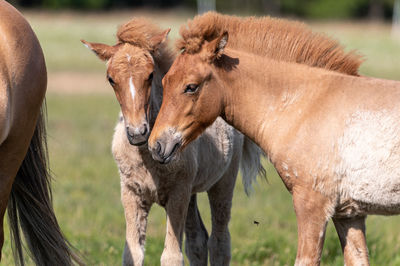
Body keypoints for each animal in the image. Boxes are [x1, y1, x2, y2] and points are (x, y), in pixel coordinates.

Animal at [80, 17, 266, 264]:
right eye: (111, 79)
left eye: (150, 75)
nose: (138, 132)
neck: (147, 159)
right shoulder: (131, 193)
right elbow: (133, 253)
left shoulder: (178, 193)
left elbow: (171, 256)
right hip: (192, 192)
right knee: (198, 240)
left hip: (222, 181)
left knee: (219, 241)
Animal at [148, 14, 400, 264]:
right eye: (163, 82)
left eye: (191, 87)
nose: (156, 145)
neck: (308, 104)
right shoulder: (349, 213)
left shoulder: (312, 207)